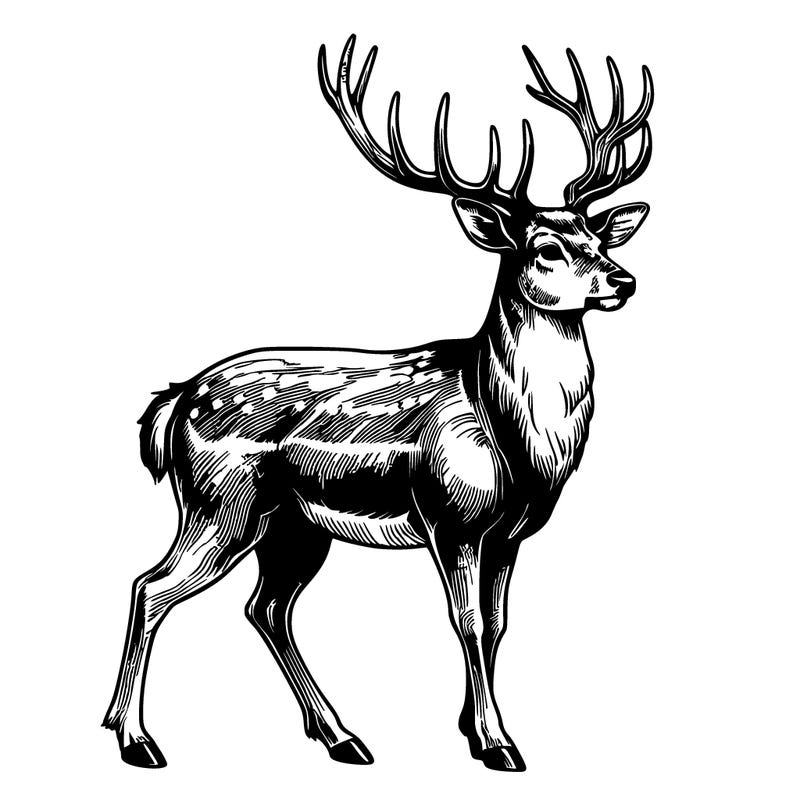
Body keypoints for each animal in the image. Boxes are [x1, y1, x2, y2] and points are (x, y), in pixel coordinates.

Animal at [103, 34, 653, 773]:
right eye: (545, 249)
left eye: (598, 237)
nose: (622, 280)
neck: (515, 439)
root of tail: (173, 404)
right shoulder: (453, 515)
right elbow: (467, 623)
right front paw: (497, 743)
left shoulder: (511, 532)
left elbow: (500, 625)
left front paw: (474, 729)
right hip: (222, 505)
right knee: (150, 586)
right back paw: (136, 739)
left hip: (292, 526)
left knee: (265, 608)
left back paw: (342, 736)